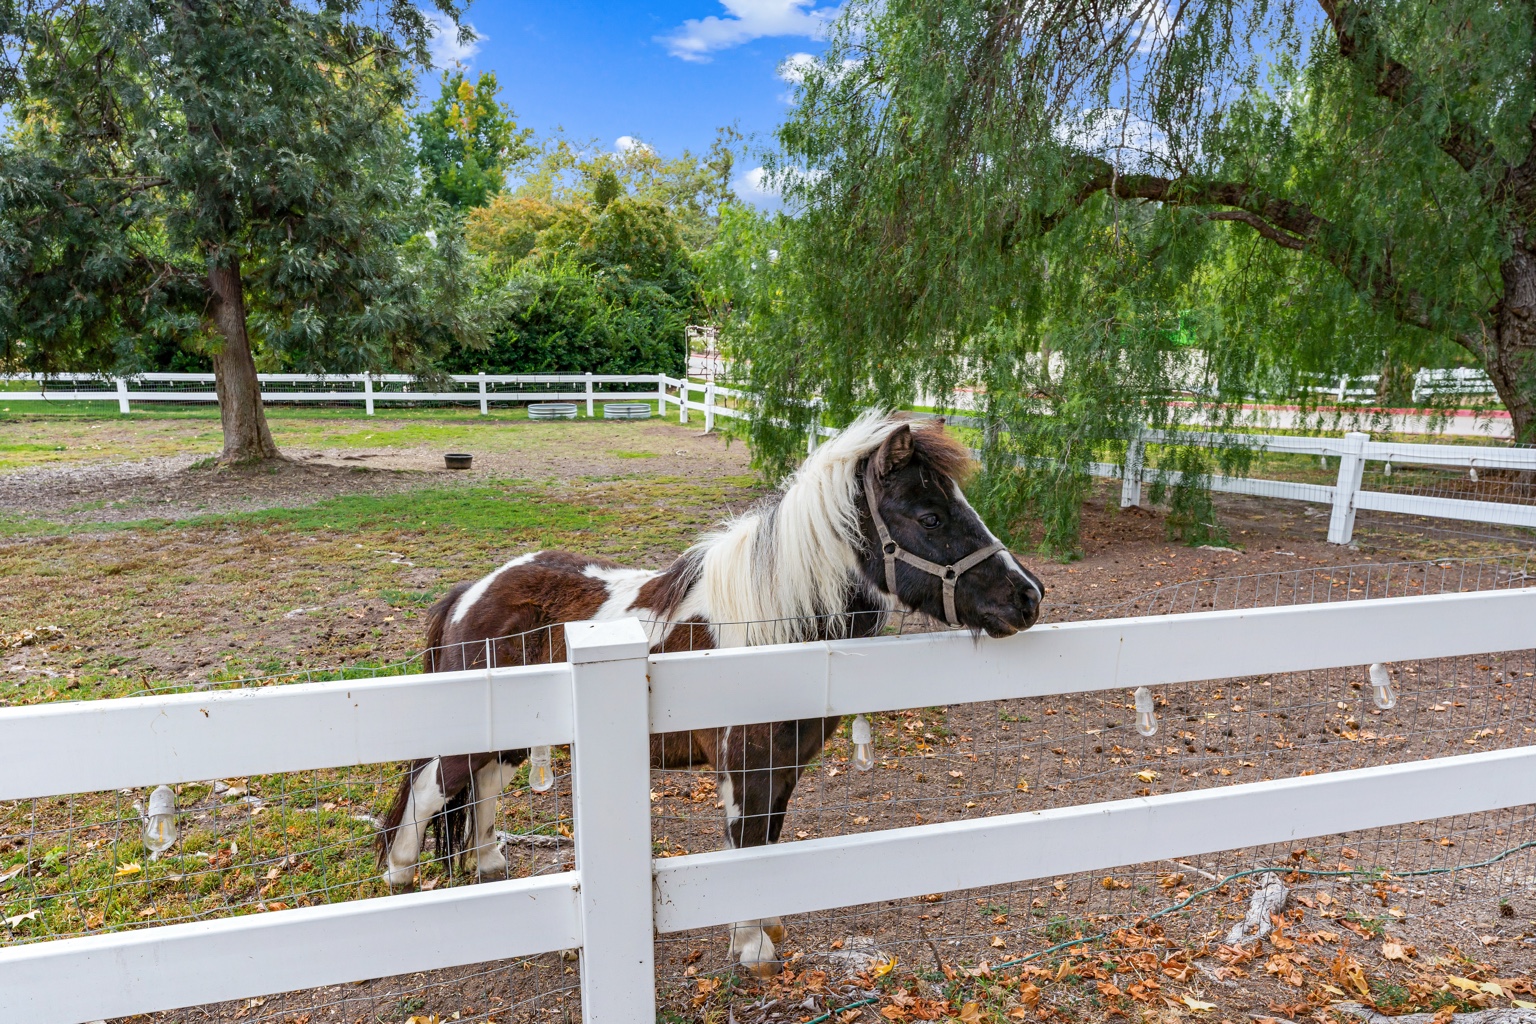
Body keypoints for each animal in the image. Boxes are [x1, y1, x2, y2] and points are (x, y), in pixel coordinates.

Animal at [376, 410, 1044, 975]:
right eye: (930, 517)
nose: (1027, 596)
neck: (772, 631)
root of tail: (470, 593)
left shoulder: (783, 768)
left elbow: (768, 842)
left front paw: (766, 931)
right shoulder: (742, 768)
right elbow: (746, 846)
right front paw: (752, 949)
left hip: (512, 737)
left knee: (484, 785)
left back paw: (490, 866)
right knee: (430, 788)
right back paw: (399, 877)